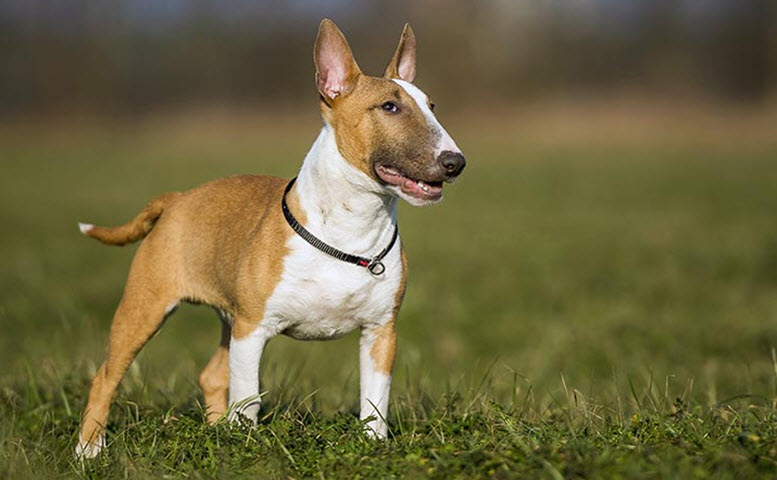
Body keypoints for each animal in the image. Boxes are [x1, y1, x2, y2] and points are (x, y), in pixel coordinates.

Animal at [76, 18, 464, 458]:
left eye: (432, 107)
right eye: (390, 107)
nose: (455, 162)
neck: (350, 228)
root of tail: (177, 199)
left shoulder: (380, 332)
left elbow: (374, 400)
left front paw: (372, 446)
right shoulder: (253, 330)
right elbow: (248, 398)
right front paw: (245, 446)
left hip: (227, 320)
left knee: (211, 375)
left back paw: (214, 432)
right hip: (147, 307)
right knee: (106, 376)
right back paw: (88, 450)